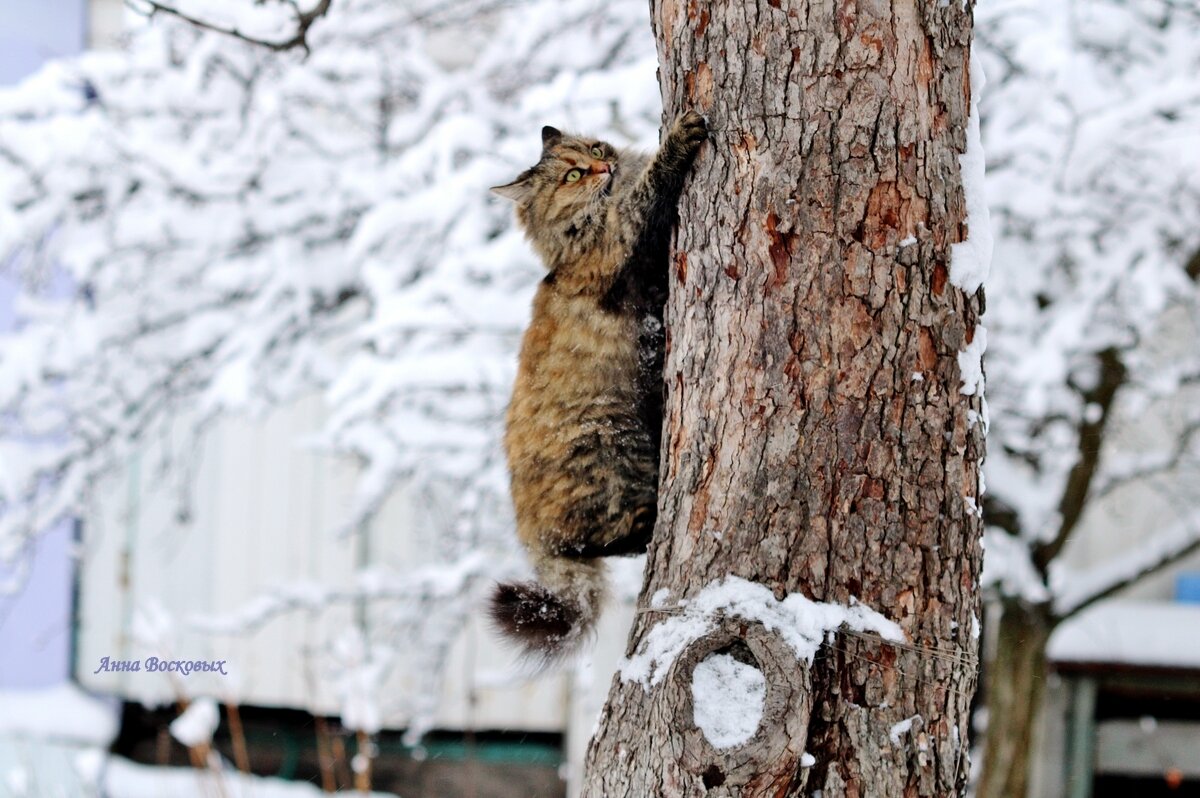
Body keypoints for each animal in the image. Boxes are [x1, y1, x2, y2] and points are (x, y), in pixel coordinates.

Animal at [489, 110, 705, 657]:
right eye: (571, 175)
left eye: (594, 147)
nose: (604, 166)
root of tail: (528, 534)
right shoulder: (623, 236)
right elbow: (652, 187)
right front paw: (681, 135)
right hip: (612, 446)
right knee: (607, 540)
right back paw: (656, 522)